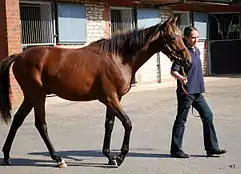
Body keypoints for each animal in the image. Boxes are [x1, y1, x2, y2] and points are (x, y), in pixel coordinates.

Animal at [0, 15, 191, 168]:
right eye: (172, 37)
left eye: (181, 36)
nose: (187, 61)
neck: (118, 58)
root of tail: (19, 56)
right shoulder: (111, 98)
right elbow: (127, 123)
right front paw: (120, 157)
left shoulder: (113, 99)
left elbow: (109, 125)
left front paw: (109, 156)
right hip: (38, 96)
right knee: (41, 124)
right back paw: (57, 159)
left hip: (31, 97)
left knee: (18, 120)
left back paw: (7, 156)